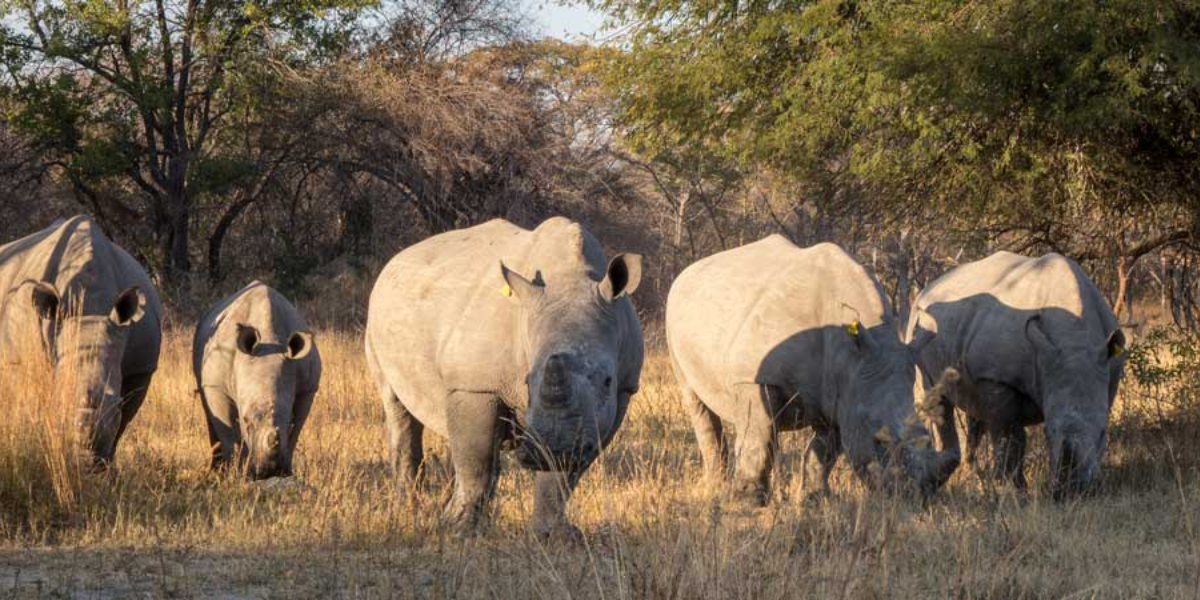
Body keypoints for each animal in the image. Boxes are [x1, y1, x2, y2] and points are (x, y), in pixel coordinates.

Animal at [0, 216, 162, 463]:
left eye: (115, 403)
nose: (85, 460)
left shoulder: (141, 368)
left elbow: (122, 423)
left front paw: (106, 467)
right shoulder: (20, 359)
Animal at [190, 279, 316, 477]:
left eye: (289, 420)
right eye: (246, 420)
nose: (269, 471)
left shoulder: (308, 388)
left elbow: (296, 430)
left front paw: (288, 470)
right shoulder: (216, 387)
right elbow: (227, 432)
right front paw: (235, 473)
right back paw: (217, 470)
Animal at [364, 218, 648, 537]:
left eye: (607, 381)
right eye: (526, 381)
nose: (552, 448)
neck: (570, 278)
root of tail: (395, 259)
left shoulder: (622, 391)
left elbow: (562, 478)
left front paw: (552, 535)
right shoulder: (475, 385)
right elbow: (475, 459)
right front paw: (456, 529)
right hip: (376, 317)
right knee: (396, 406)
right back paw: (408, 508)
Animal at [667, 236, 955, 504]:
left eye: (927, 436)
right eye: (879, 441)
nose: (918, 495)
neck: (851, 356)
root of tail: (688, 270)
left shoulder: (844, 392)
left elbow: (825, 451)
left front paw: (816, 499)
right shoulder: (755, 379)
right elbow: (759, 438)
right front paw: (748, 502)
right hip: (674, 315)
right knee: (695, 401)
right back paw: (714, 488)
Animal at [907, 250, 1123, 499]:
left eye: (1103, 433)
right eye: (1047, 433)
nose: (1072, 491)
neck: (1074, 337)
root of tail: (927, 288)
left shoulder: (1108, 373)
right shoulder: (996, 377)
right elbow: (1010, 438)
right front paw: (1013, 490)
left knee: (975, 411)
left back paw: (975, 477)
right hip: (917, 329)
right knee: (938, 399)